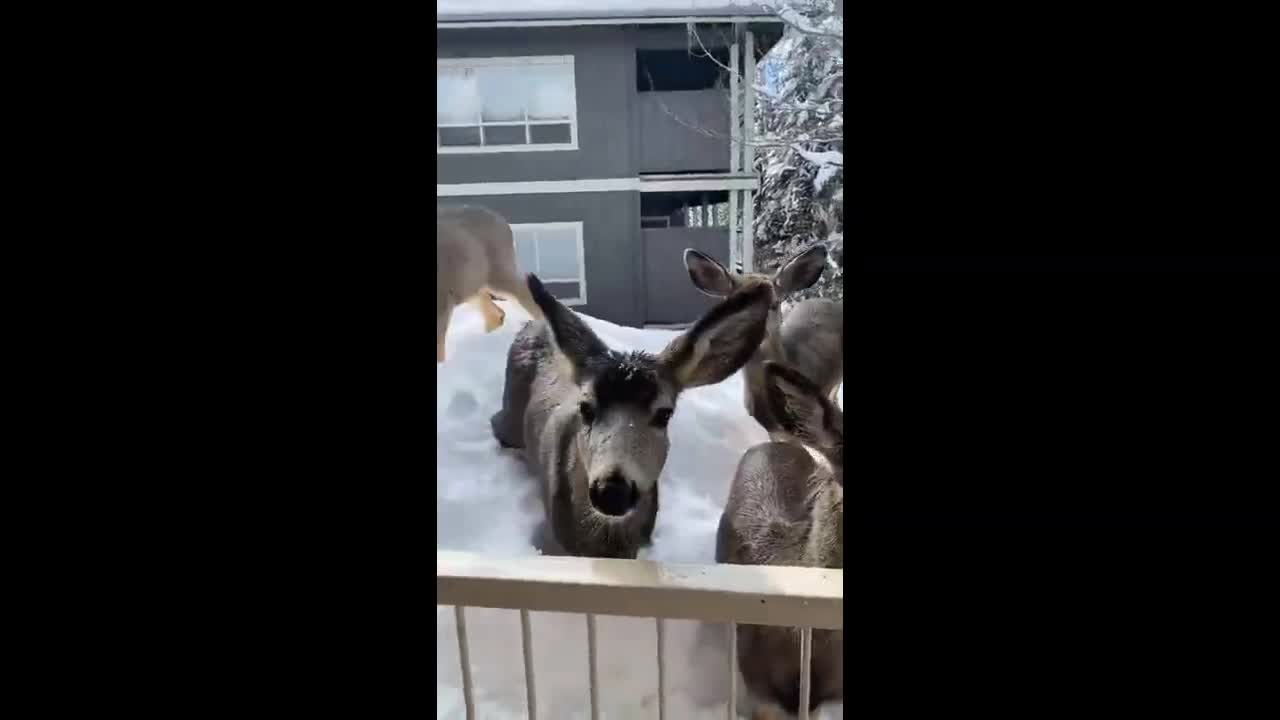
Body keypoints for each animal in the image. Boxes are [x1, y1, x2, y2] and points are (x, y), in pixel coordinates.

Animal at [437, 203, 542, 361]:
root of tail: (502, 221)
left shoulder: (441, 300)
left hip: (498, 269)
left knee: (524, 291)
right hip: (470, 282)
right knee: (496, 312)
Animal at [488, 271, 768, 558]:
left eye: (664, 414)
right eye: (585, 407)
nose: (612, 491)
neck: (607, 545)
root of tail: (532, 325)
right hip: (508, 414)